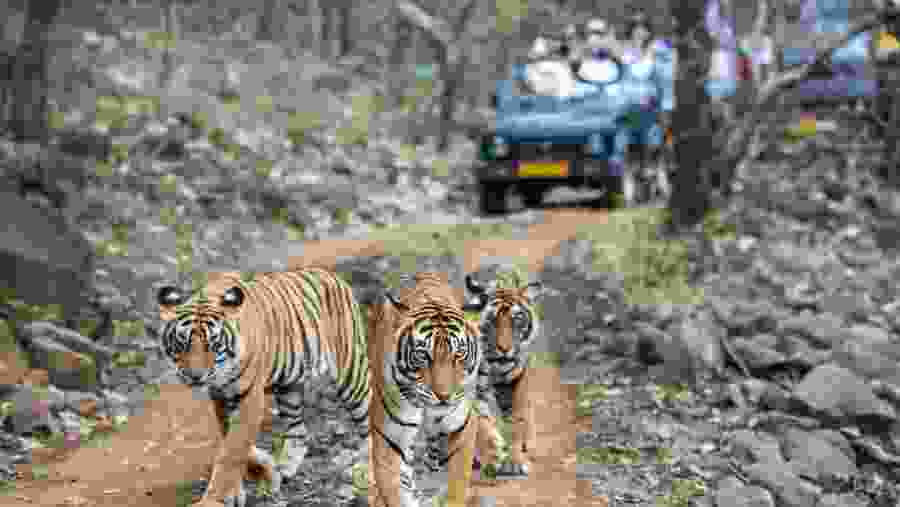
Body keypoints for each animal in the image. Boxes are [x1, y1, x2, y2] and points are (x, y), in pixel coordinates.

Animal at [155, 268, 369, 507]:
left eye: (213, 344)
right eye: (182, 342)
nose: (195, 376)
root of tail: (332, 275)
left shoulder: (249, 397)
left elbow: (232, 451)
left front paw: (214, 499)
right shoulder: (220, 398)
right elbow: (233, 442)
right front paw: (258, 474)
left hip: (351, 373)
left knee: (370, 420)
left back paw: (366, 469)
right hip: (289, 389)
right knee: (298, 431)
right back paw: (285, 468)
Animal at [367, 272, 484, 507]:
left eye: (459, 354)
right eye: (423, 355)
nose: (444, 395)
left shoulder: (463, 428)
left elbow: (456, 484)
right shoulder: (388, 437)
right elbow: (395, 491)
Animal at [464, 272, 544, 480]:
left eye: (517, 319)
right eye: (492, 320)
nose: (504, 349)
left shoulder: (516, 381)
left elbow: (518, 420)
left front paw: (515, 461)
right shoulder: (473, 389)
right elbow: (483, 424)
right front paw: (494, 457)